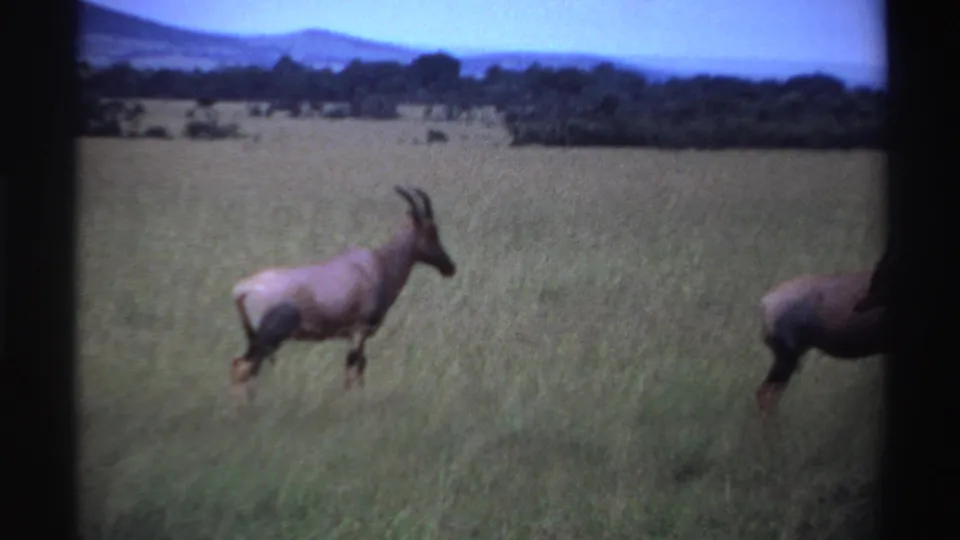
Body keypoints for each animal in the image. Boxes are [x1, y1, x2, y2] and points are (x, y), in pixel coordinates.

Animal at [229, 186, 457, 404]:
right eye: (431, 233)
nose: (450, 268)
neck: (377, 266)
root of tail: (242, 289)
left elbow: (357, 366)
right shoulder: (359, 331)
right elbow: (354, 366)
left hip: (254, 337)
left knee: (243, 365)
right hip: (269, 337)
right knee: (244, 367)